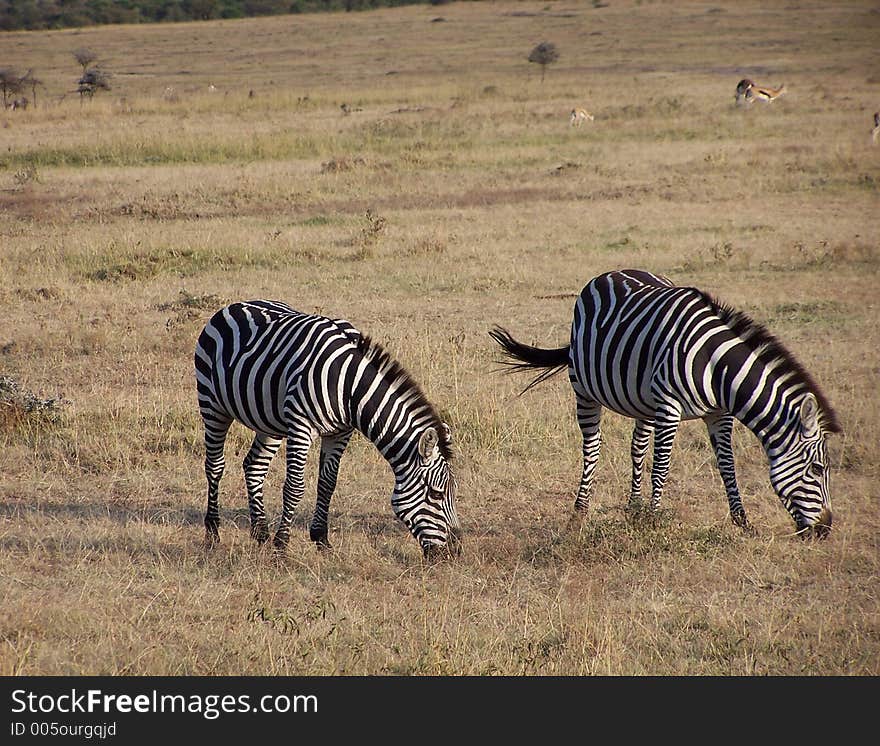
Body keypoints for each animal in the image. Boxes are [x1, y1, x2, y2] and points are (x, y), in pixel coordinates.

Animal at [195, 300, 464, 556]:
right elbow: (294, 487)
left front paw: (321, 540)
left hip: (269, 421)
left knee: (254, 466)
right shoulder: (301, 426)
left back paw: (260, 532)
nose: (455, 551)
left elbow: (327, 484)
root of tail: (235, 305)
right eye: (437, 494)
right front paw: (282, 547)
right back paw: (213, 532)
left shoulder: (340, 432)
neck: (350, 387)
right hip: (212, 405)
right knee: (215, 466)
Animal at [492, 268, 844, 536]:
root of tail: (611, 273)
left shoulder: (718, 414)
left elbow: (726, 465)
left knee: (637, 446)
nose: (824, 530)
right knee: (592, 448)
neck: (716, 367)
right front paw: (655, 519)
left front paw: (742, 522)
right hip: (584, 389)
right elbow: (662, 466)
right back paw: (580, 514)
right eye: (817, 469)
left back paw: (633, 507)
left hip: (643, 401)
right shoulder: (670, 407)